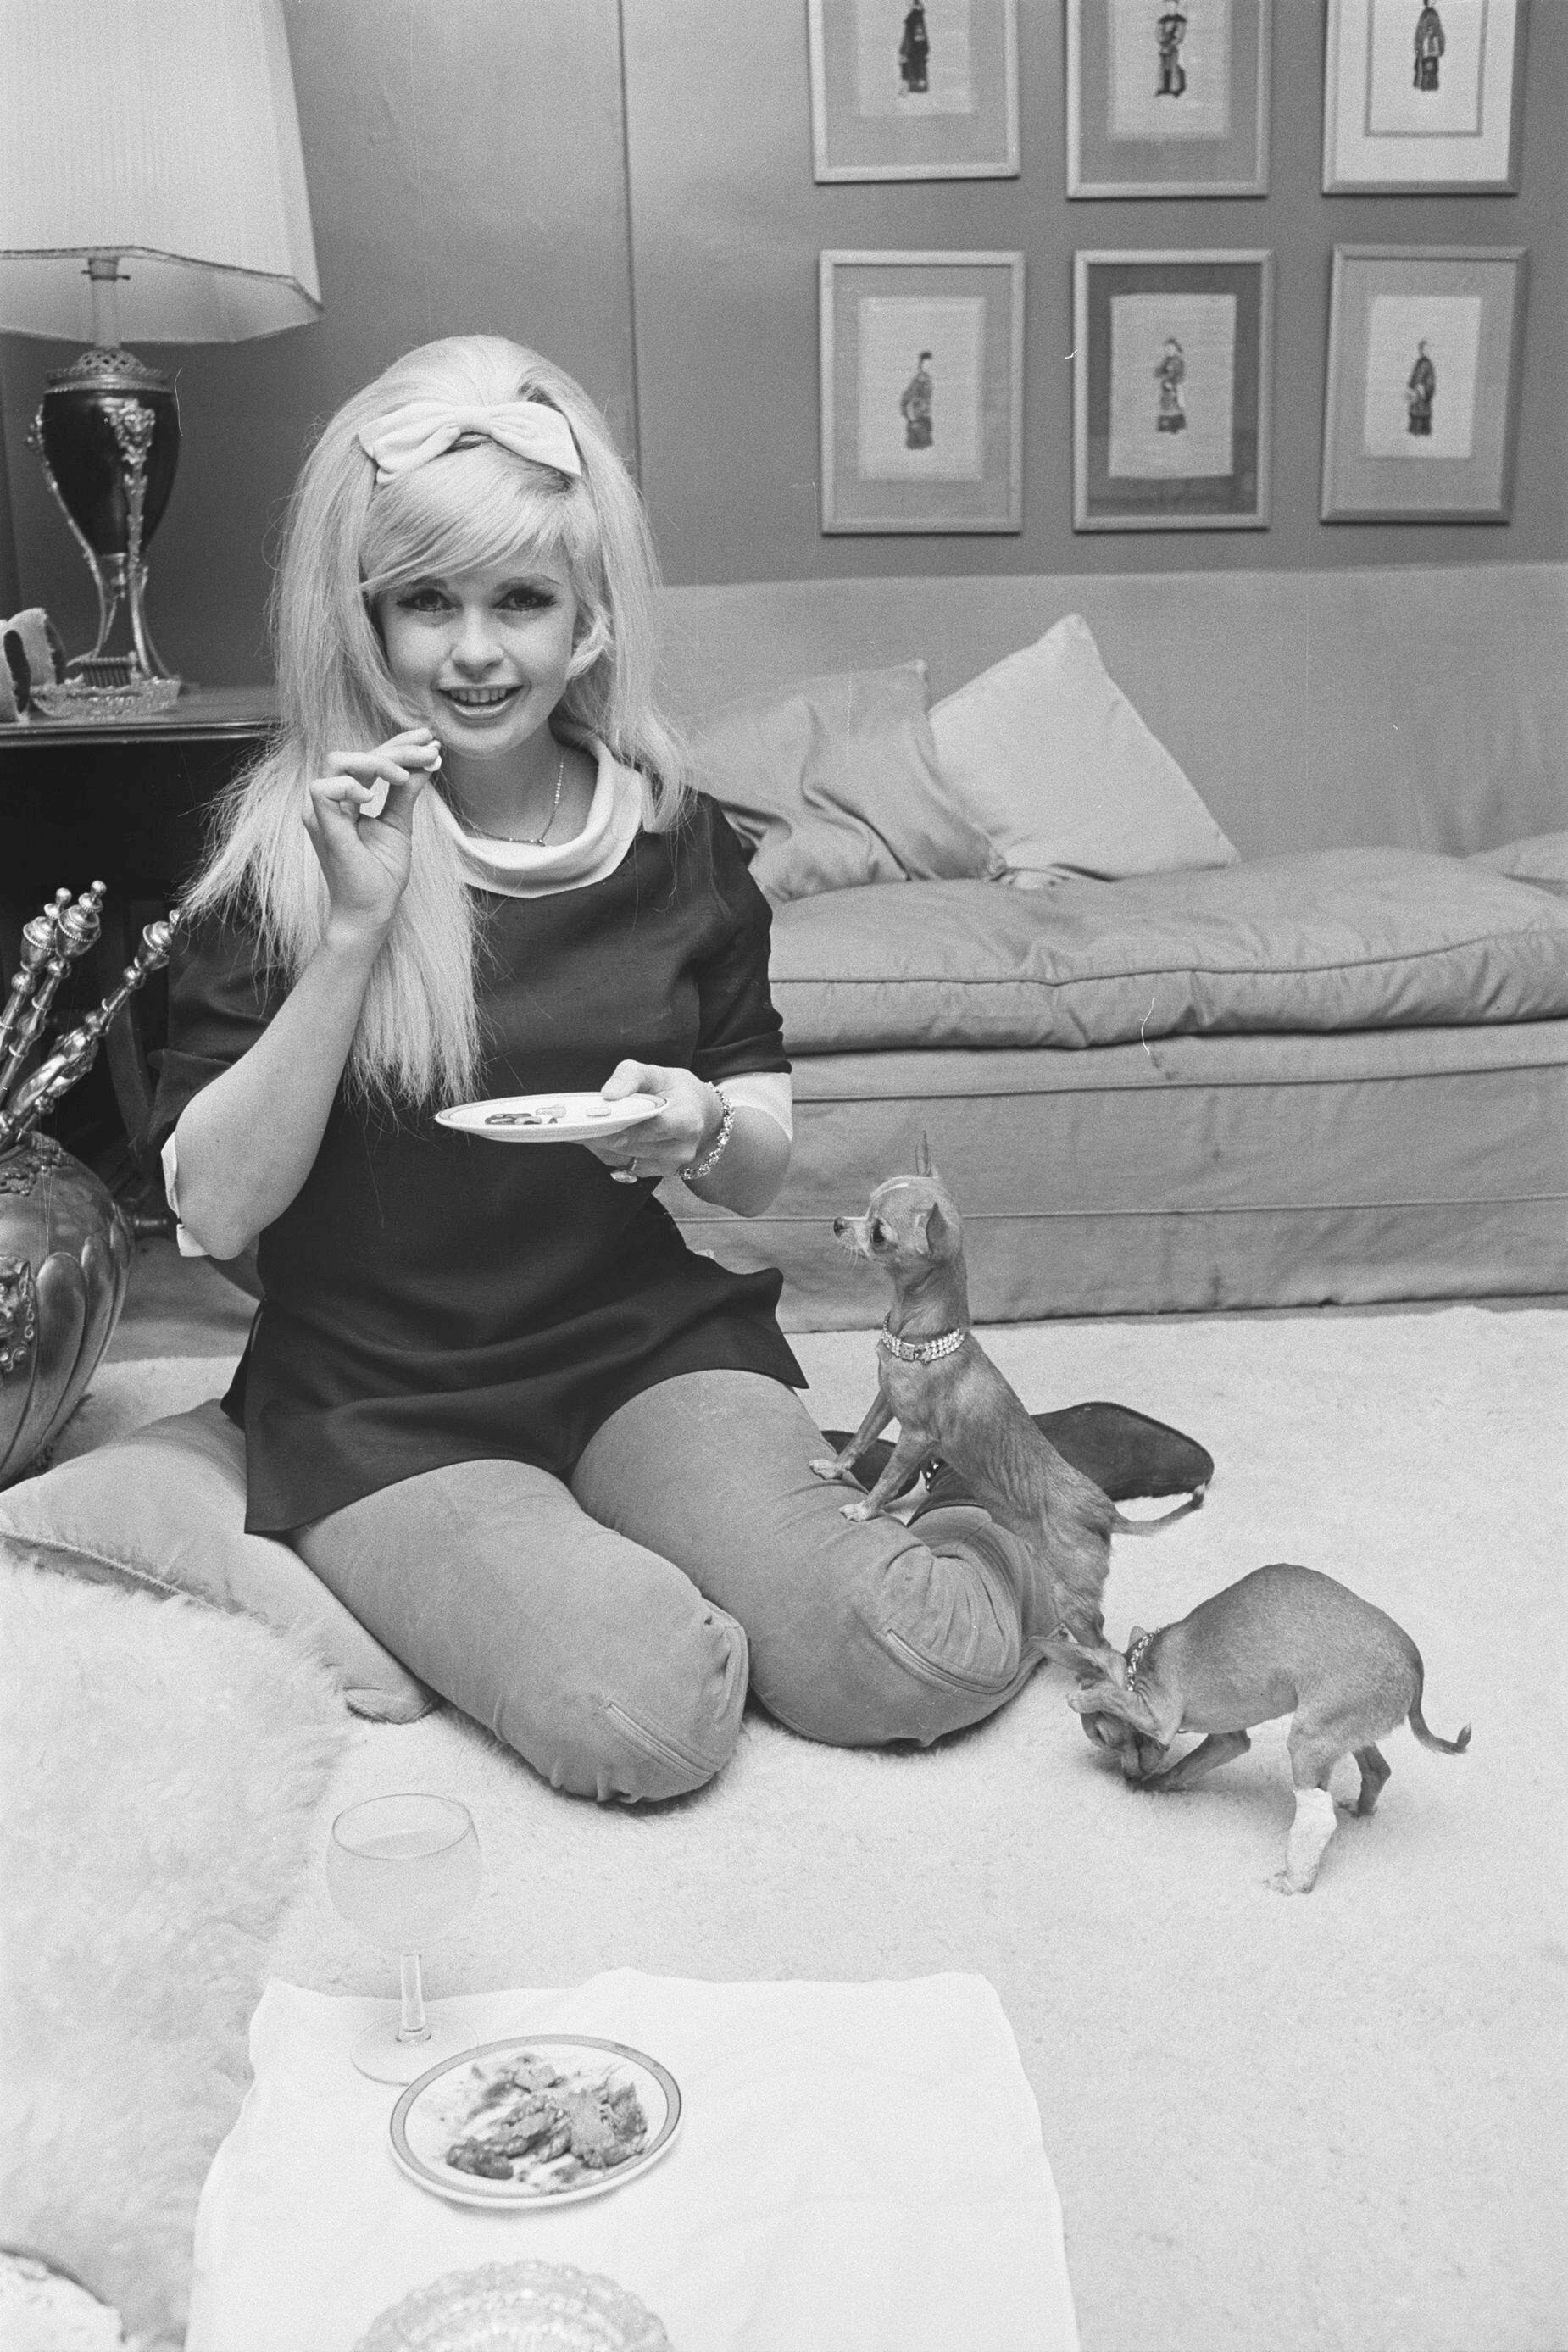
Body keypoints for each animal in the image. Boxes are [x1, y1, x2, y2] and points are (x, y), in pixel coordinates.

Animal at [809, 1143, 1204, 1649]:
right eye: (865, 1206)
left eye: (878, 1234)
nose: (838, 1223)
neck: (922, 1334)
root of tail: (1105, 1513)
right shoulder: (884, 1402)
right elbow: (858, 1440)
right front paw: (834, 1467)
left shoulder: (916, 1436)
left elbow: (889, 1478)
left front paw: (864, 1510)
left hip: (1071, 1596)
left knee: (1106, 1650)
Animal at [1046, 1563, 1471, 1893]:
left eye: (1104, 1738)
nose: (1128, 1779)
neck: (1143, 1664)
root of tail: (1414, 1666)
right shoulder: (1227, 1741)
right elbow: (1182, 1769)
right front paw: (1157, 1786)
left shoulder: (1159, 1718)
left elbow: (1114, 1699)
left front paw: (1085, 1697)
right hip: (1345, 1733)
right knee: (1377, 1770)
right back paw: (1362, 1812)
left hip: (1309, 1739)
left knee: (1317, 1814)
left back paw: (1296, 1881)